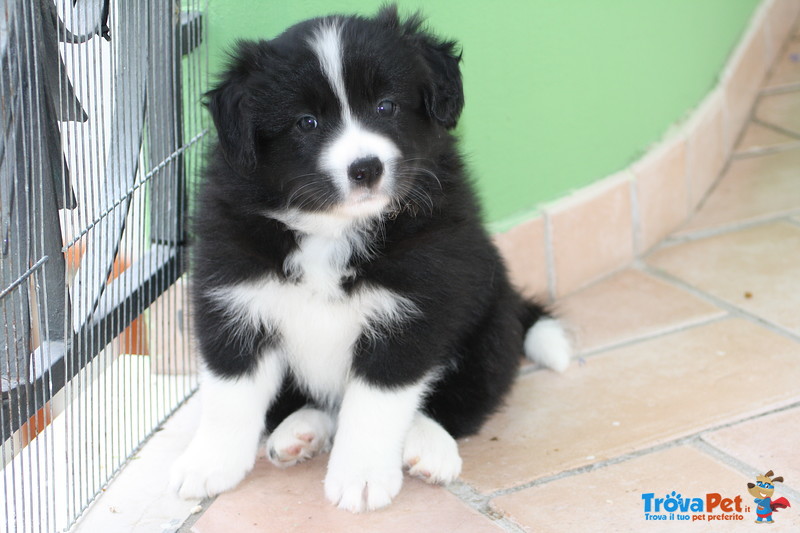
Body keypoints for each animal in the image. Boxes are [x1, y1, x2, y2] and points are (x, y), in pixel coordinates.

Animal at [170, 4, 568, 512]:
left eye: (386, 107)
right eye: (306, 123)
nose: (365, 169)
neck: (331, 230)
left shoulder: (412, 309)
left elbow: (376, 403)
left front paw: (360, 477)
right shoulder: (234, 296)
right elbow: (229, 391)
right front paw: (207, 465)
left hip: (491, 327)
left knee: (459, 400)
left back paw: (427, 444)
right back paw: (300, 431)